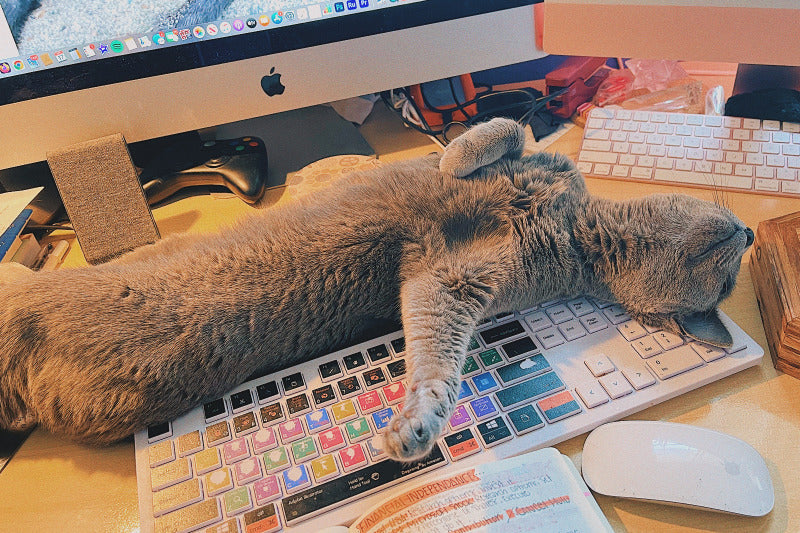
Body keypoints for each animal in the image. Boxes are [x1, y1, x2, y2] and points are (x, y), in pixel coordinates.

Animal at [0, 118, 752, 460]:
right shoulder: (535, 166)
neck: (578, 230)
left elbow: (438, 363)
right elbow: (506, 129)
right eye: (729, 274)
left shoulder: (451, 282)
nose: (747, 231)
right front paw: (457, 158)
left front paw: (417, 425)